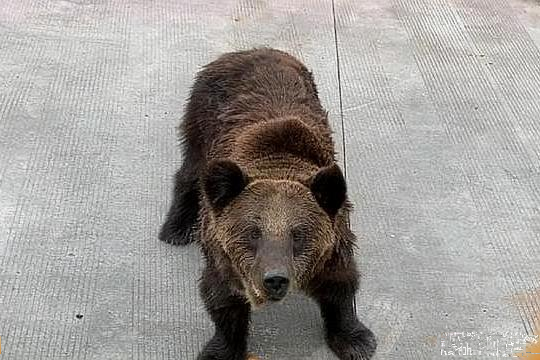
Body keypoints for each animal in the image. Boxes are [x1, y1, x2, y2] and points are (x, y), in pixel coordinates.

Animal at [159, 48, 376, 360]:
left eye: (298, 234)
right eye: (252, 233)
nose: (275, 279)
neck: (277, 162)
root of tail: (248, 50)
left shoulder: (334, 241)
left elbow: (341, 285)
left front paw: (355, 340)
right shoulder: (223, 253)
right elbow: (222, 297)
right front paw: (221, 349)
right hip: (202, 117)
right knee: (191, 170)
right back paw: (175, 228)